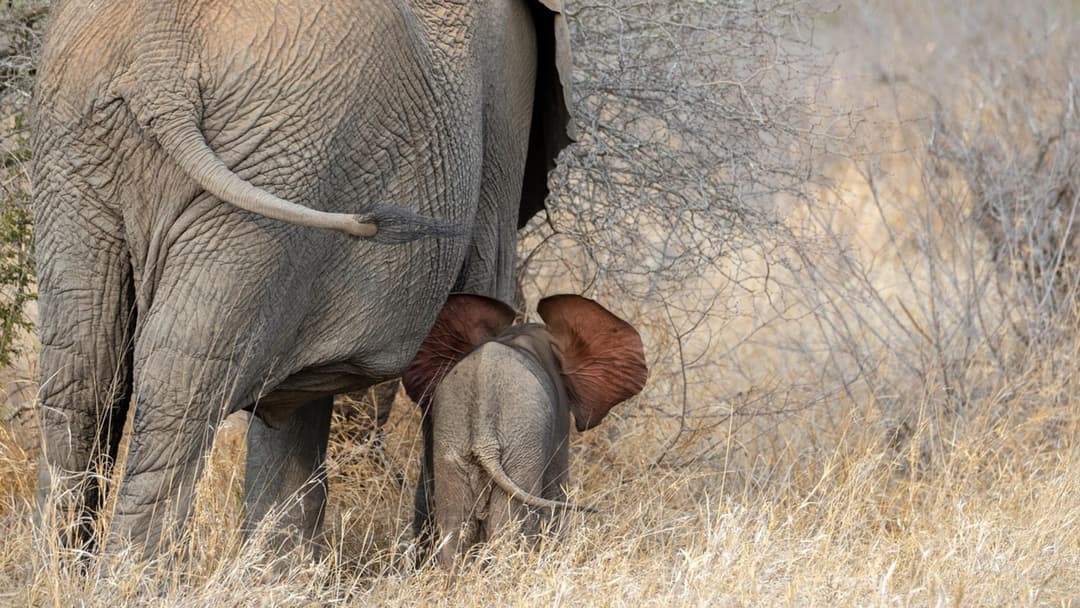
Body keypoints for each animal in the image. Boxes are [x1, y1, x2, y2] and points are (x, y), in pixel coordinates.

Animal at [31, 0, 575, 557]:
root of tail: (160, 59)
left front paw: (277, 568)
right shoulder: (507, 90)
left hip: (85, 150)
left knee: (83, 376)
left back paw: (68, 570)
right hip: (279, 167)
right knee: (177, 393)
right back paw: (131, 574)